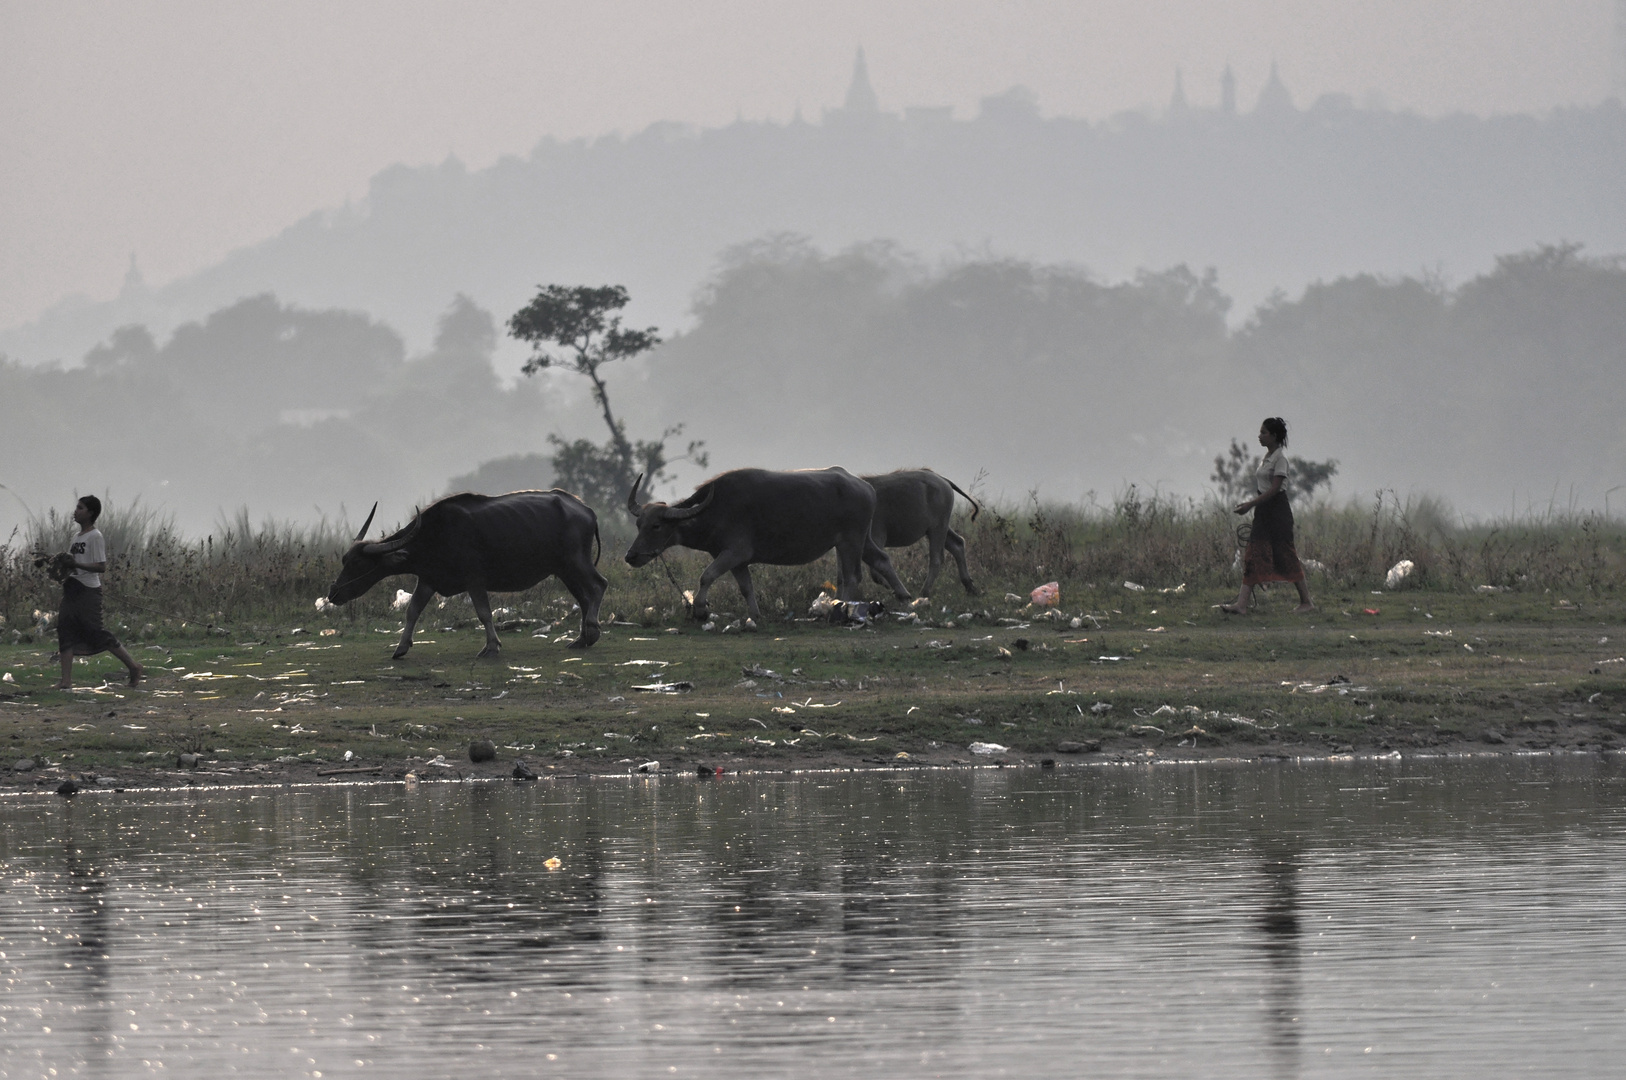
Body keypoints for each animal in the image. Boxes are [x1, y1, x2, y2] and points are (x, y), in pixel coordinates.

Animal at [326, 487, 608, 657]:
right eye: (345, 560)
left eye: (359, 565)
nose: (333, 593)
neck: (433, 536)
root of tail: (586, 510)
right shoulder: (428, 581)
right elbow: (412, 611)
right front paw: (401, 647)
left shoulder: (475, 581)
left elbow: (484, 613)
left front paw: (491, 646)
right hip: (564, 569)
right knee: (583, 597)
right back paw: (581, 639)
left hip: (576, 562)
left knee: (598, 586)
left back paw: (592, 631)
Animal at [624, 465, 917, 624]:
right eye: (639, 524)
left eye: (656, 526)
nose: (631, 556)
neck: (715, 509)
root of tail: (866, 487)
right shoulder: (738, 561)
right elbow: (746, 588)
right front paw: (755, 615)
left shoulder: (734, 552)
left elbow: (706, 575)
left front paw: (700, 610)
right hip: (862, 539)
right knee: (881, 559)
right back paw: (905, 598)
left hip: (850, 540)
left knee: (852, 576)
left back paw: (839, 609)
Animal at [865, 465, 975, 595]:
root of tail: (943, 479)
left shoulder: (877, 535)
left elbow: (876, 570)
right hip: (940, 528)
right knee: (957, 544)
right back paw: (970, 587)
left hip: (938, 528)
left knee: (936, 560)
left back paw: (924, 592)